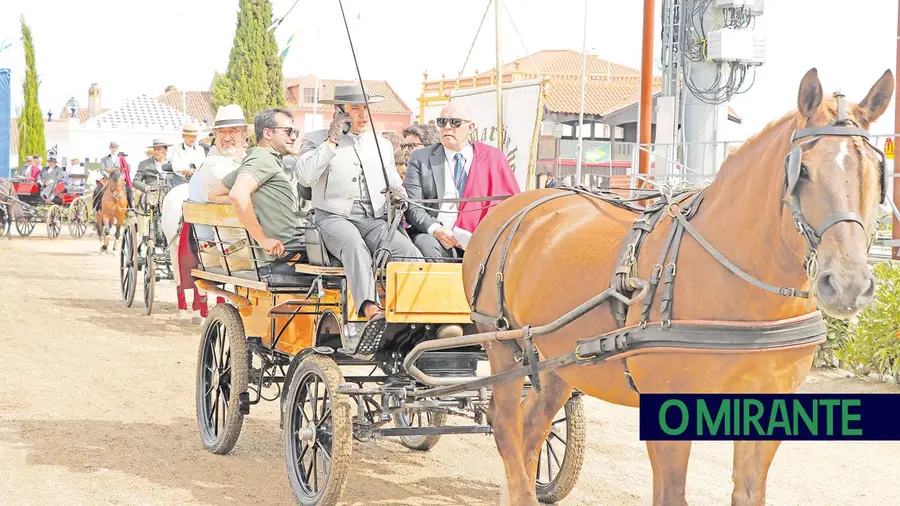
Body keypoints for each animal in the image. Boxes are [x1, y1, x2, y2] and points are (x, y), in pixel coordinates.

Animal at [464, 68, 892, 506]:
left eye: (876, 174)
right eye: (801, 171)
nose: (848, 284)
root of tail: (515, 205)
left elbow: (749, 492)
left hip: (556, 357)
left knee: (532, 425)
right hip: (501, 343)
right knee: (505, 423)